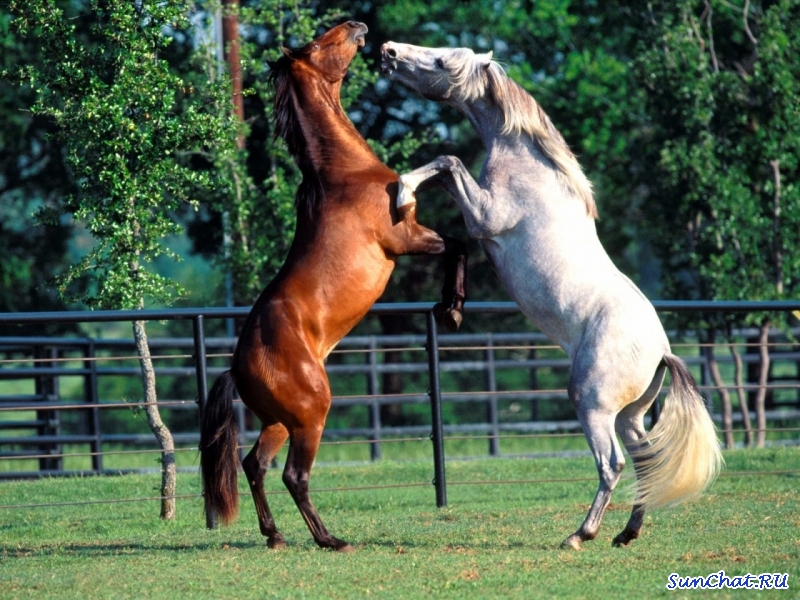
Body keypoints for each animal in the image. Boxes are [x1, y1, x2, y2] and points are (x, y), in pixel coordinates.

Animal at [196, 21, 466, 552]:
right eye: (321, 43)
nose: (356, 26)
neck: (345, 172)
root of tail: (237, 367)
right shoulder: (405, 238)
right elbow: (459, 239)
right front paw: (451, 307)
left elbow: (459, 243)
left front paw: (451, 307)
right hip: (311, 415)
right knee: (293, 476)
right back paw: (330, 539)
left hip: (280, 421)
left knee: (254, 465)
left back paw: (276, 537)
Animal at [378, 41, 720, 548]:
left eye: (441, 61)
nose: (388, 51)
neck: (530, 165)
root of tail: (661, 350)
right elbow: (444, 167)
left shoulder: (485, 215)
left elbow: (447, 162)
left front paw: (402, 192)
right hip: (630, 415)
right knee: (644, 460)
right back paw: (626, 533)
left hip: (592, 404)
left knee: (612, 463)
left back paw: (581, 534)